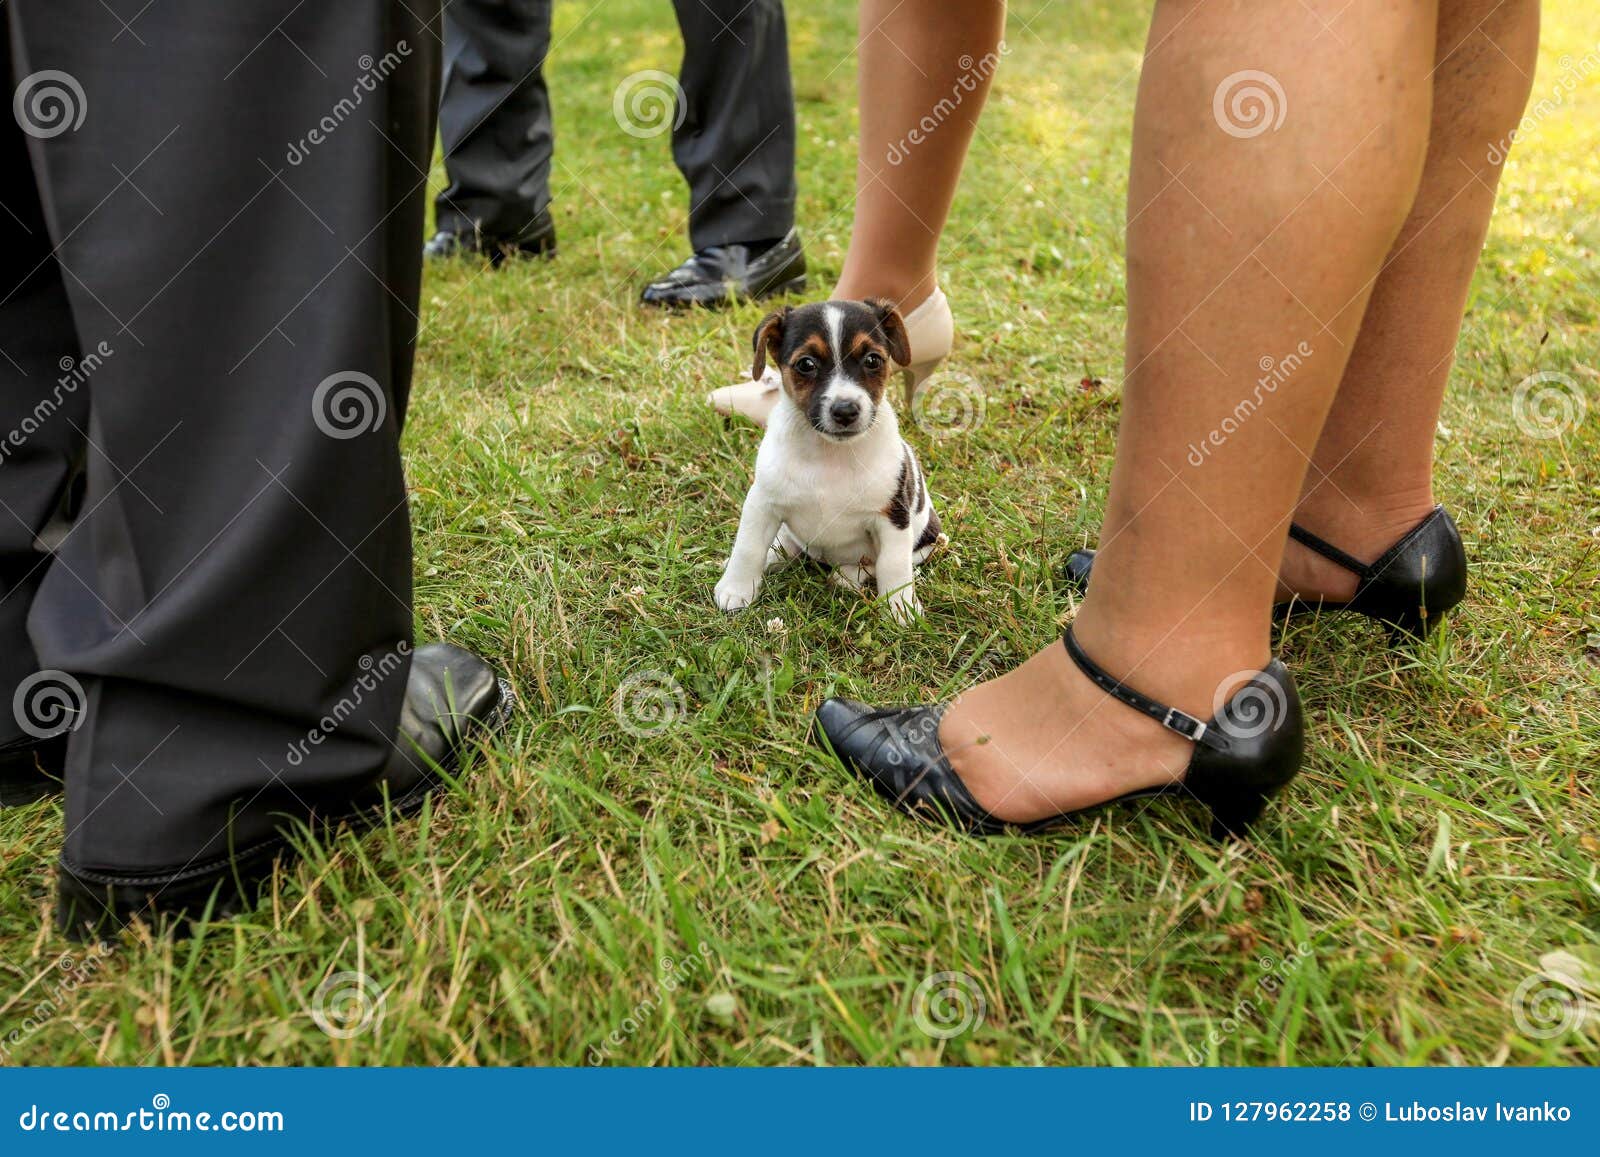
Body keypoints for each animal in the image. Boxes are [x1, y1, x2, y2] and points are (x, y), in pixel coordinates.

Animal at [713, 300, 934, 624]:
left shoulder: (892, 517)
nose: (845, 410)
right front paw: (736, 588)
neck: (829, 454)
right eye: (806, 364)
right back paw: (774, 556)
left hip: (927, 539)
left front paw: (900, 608)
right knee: (784, 544)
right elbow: (748, 547)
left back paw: (848, 576)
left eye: (872, 360)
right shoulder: (762, 504)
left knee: (874, 563)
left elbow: (893, 566)